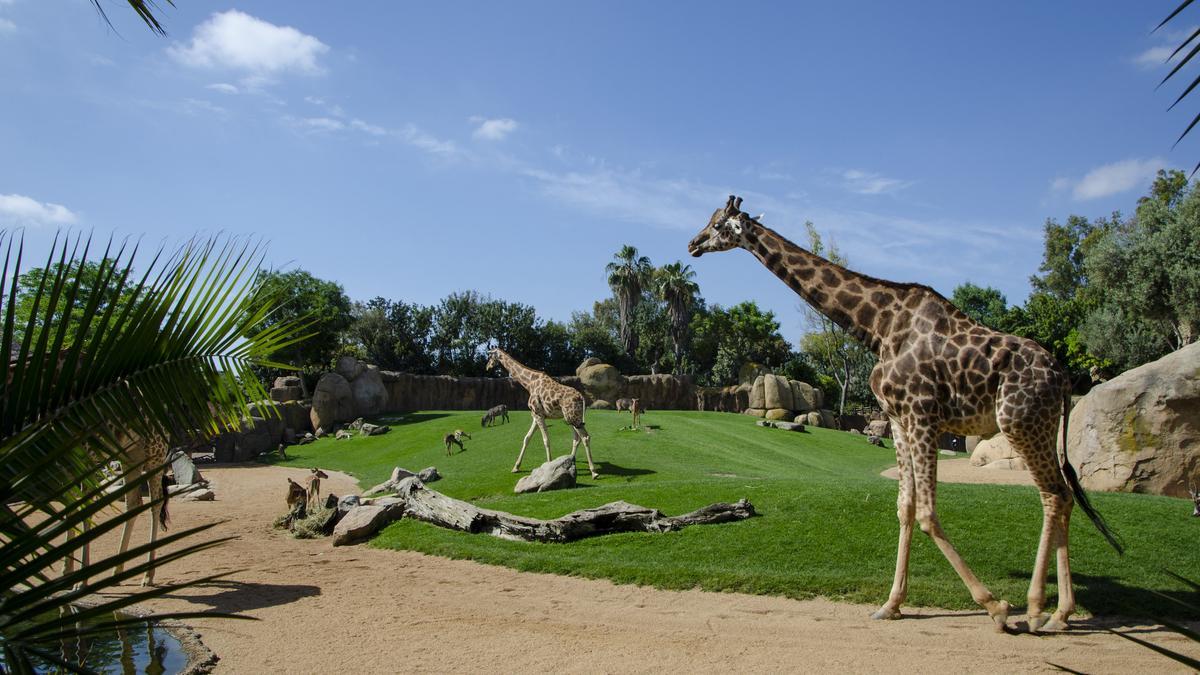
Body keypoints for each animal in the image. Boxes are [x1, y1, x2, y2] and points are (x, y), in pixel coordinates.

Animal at [487, 345, 600, 478]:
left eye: (490, 356)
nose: (487, 366)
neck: (529, 383)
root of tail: (581, 397)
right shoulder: (536, 415)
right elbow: (527, 438)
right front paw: (516, 467)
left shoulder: (538, 414)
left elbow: (546, 440)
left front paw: (549, 467)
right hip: (573, 418)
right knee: (577, 438)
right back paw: (571, 460)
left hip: (573, 418)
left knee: (585, 437)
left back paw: (594, 472)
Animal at [691, 193, 1118, 629]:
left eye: (718, 224)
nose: (692, 244)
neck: (877, 328)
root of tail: (1063, 377)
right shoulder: (897, 420)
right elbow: (905, 508)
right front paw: (891, 604)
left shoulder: (921, 414)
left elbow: (928, 512)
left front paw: (994, 606)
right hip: (1039, 427)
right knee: (1064, 494)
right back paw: (1060, 613)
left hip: (1019, 422)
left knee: (1052, 494)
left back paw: (1034, 609)